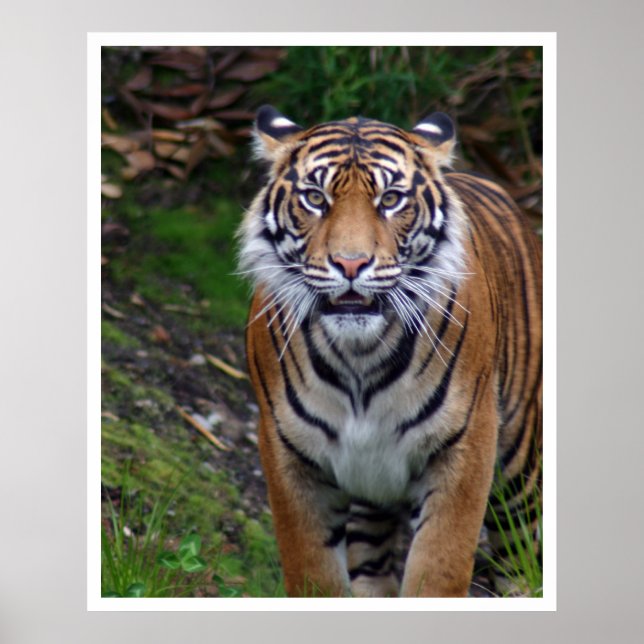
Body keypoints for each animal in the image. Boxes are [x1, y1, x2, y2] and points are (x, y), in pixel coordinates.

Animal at [238, 105, 542, 597]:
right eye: (315, 198)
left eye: (392, 199)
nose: (350, 263)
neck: (359, 356)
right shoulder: (288, 452)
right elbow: (314, 574)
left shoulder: (465, 446)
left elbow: (438, 569)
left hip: (519, 467)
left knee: (522, 556)